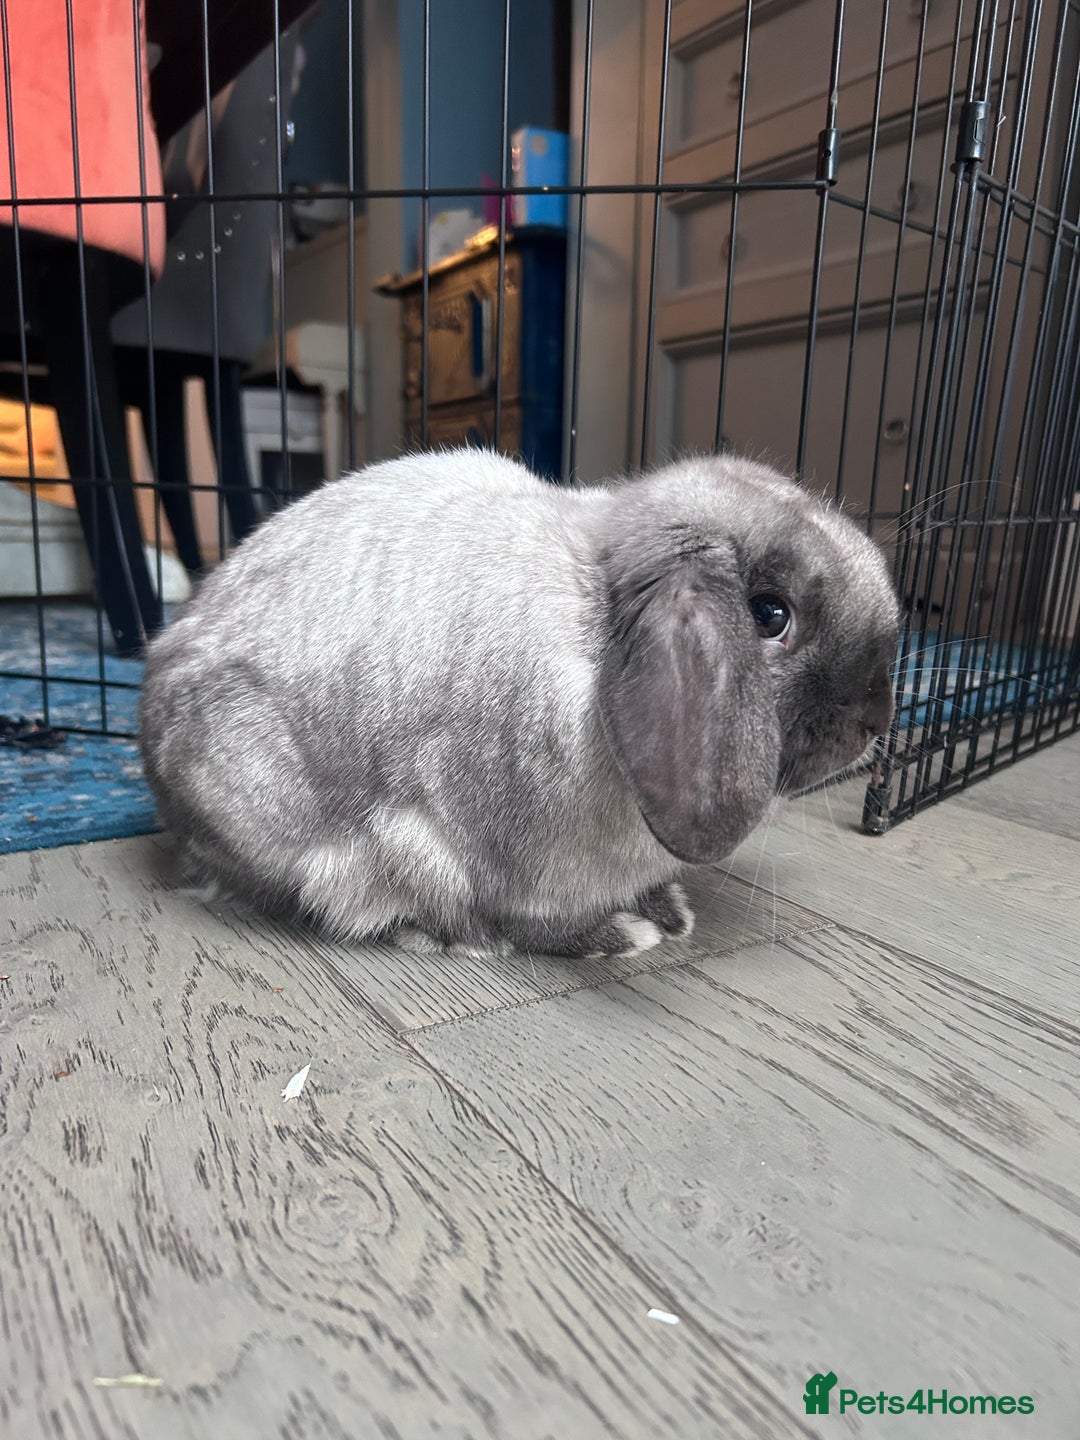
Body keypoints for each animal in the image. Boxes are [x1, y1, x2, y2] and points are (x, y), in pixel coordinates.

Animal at [139, 448, 899, 958]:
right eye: (770, 615)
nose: (876, 720)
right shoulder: (500, 861)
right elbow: (533, 920)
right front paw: (622, 934)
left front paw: (670, 911)